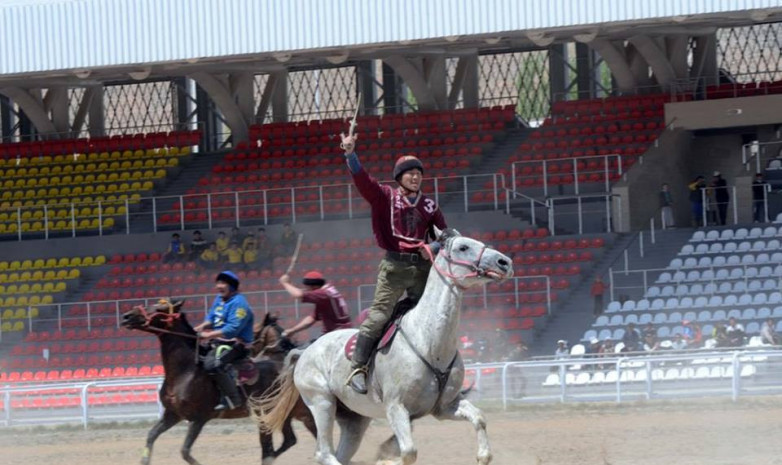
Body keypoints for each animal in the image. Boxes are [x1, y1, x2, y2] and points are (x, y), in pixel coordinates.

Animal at [120, 298, 316, 464]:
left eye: (159, 309)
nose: (126, 316)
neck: (185, 372)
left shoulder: (199, 419)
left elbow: (185, 451)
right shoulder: (172, 415)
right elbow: (151, 435)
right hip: (282, 414)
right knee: (288, 440)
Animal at [258, 228, 516, 464]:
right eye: (463, 247)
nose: (505, 262)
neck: (430, 343)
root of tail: (305, 352)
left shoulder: (445, 407)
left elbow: (479, 418)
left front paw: (483, 455)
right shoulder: (396, 407)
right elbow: (408, 452)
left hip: (354, 419)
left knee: (340, 453)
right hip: (321, 403)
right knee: (324, 454)